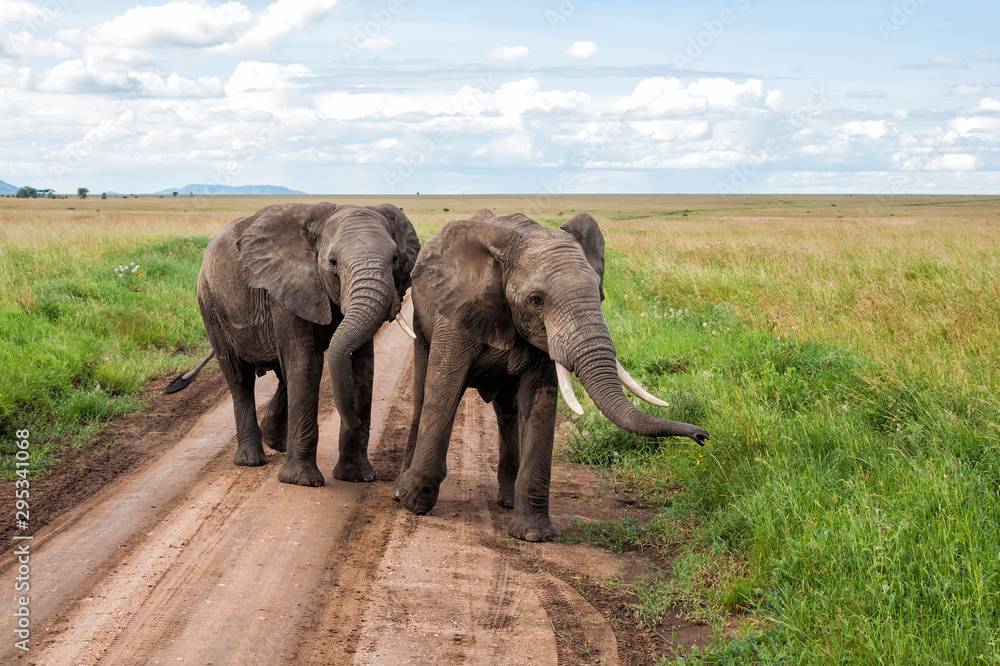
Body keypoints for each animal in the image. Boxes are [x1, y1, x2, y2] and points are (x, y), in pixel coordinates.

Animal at [167, 202, 420, 488]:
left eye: (395, 259)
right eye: (333, 262)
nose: (355, 420)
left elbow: (361, 367)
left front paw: (357, 477)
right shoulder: (288, 286)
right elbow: (306, 363)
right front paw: (302, 481)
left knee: (283, 376)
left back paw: (276, 443)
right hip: (210, 304)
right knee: (239, 378)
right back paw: (251, 460)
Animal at [393, 209, 710, 541]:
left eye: (599, 295)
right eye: (537, 300)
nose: (702, 437)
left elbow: (540, 404)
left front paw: (533, 535)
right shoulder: (457, 315)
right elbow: (444, 389)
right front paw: (414, 504)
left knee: (507, 412)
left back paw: (507, 501)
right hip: (421, 324)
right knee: (422, 395)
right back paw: (400, 492)